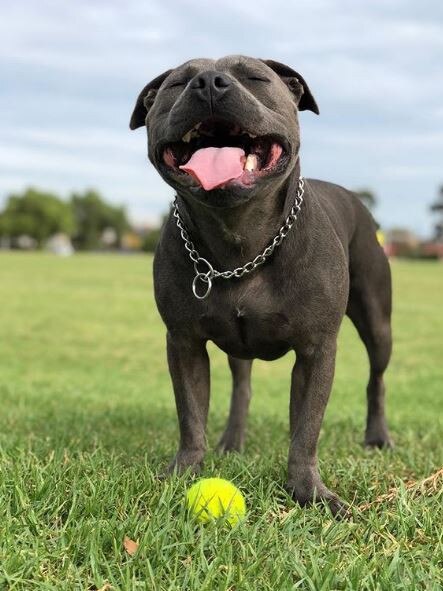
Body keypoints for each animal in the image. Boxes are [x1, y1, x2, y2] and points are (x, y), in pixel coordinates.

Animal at [129, 56, 392, 520]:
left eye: (255, 77)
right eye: (177, 83)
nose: (208, 82)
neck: (241, 239)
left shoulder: (316, 350)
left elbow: (305, 430)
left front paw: (309, 492)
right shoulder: (183, 343)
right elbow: (190, 415)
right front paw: (184, 471)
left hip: (377, 321)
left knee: (376, 378)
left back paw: (377, 437)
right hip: (238, 349)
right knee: (242, 387)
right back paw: (232, 441)